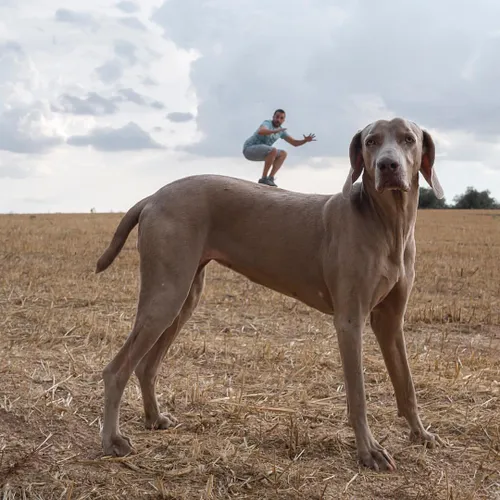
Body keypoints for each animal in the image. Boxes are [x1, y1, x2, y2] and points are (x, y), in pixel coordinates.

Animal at [96, 118, 446, 472]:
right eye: (371, 141)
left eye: (408, 139)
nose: (387, 166)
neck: (388, 224)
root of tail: (153, 196)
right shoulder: (350, 321)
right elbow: (358, 395)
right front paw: (369, 451)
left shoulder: (391, 321)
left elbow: (406, 383)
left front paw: (421, 434)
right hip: (167, 295)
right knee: (116, 370)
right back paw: (112, 440)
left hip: (184, 297)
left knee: (145, 366)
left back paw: (154, 418)